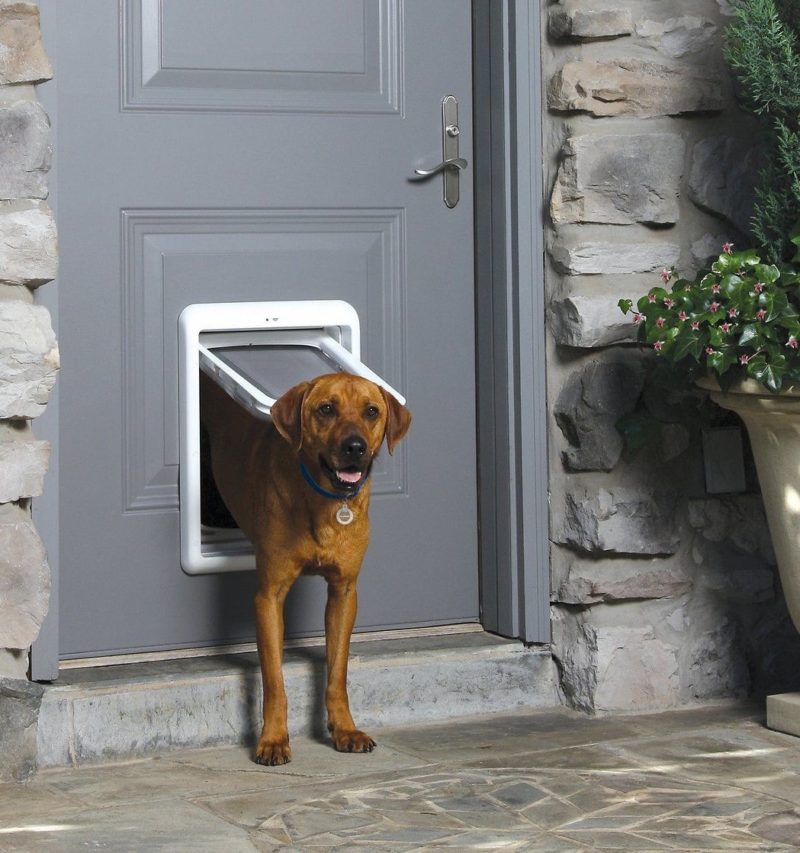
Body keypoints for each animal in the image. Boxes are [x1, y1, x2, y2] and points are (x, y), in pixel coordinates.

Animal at [200, 370, 412, 764]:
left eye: (372, 412)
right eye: (326, 409)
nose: (355, 447)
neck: (324, 501)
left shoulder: (344, 593)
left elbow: (337, 673)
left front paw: (344, 729)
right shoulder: (268, 597)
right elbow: (274, 679)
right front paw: (272, 739)